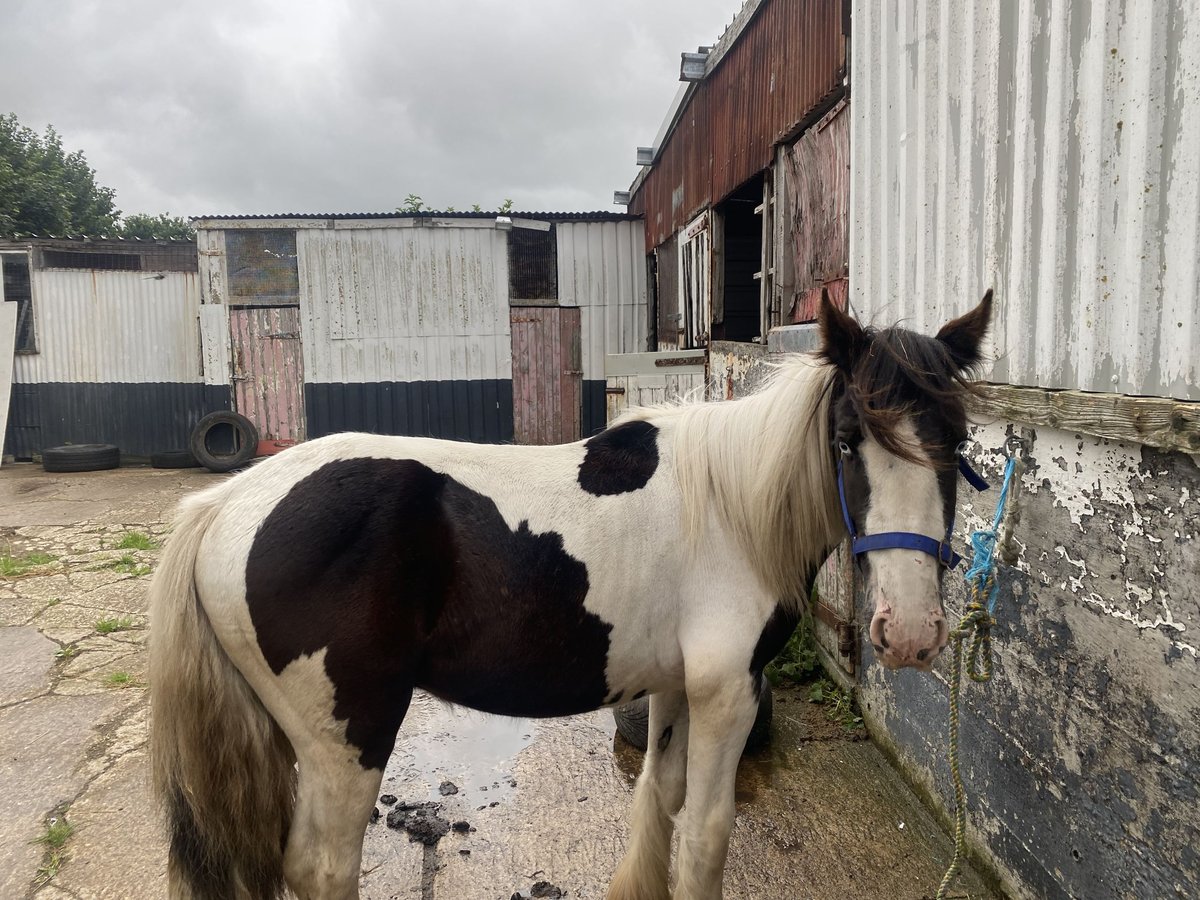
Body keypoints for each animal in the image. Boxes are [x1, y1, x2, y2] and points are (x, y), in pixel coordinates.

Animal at [150, 292, 993, 897]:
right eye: (849, 440)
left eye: (957, 442)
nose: (910, 631)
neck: (731, 503)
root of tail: (223, 505)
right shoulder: (729, 691)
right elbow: (706, 837)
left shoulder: (678, 687)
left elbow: (659, 798)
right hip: (346, 738)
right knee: (322, 867)